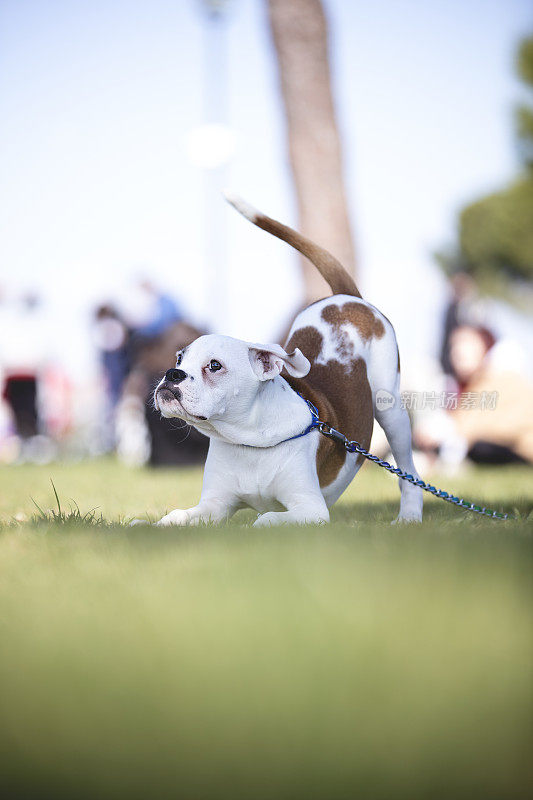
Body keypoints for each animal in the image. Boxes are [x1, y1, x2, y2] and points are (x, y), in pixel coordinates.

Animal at [149, 195, 420, 528]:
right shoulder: (214, 505)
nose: (172, 374)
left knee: (408, 472)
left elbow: (265, 519)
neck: (249, 440)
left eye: (214, 365)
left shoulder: (310, 508)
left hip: (391, 410)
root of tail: (346, 298)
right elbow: (177, 516)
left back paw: (409, 515)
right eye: (179, 358)